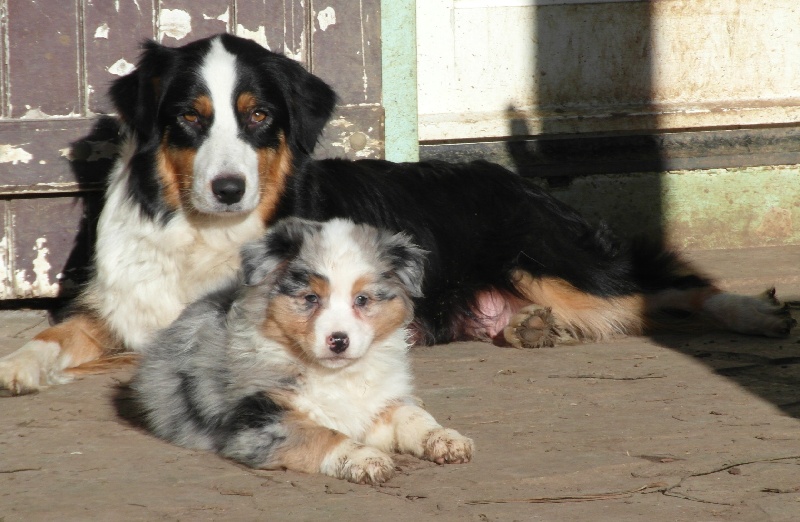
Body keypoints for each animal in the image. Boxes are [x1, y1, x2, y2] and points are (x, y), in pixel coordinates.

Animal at [0, 32, 792, 392]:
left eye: (258, 118)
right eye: (189, 118)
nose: (228, 187)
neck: (207, 232)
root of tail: (524, 183)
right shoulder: (120, 299)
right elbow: (65, 331)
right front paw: (20, 362)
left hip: (548, 263)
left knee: (659, 292)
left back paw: (756, 311)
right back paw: (529, 329)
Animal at [128, 216, 472, 484]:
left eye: (362, 300)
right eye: (310, 298)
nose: (339, 340)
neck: (335, 374)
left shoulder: (377, 404)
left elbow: (410, 415)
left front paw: (446, 438)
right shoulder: (260, 421)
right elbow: (323, 433)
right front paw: (366, 459)